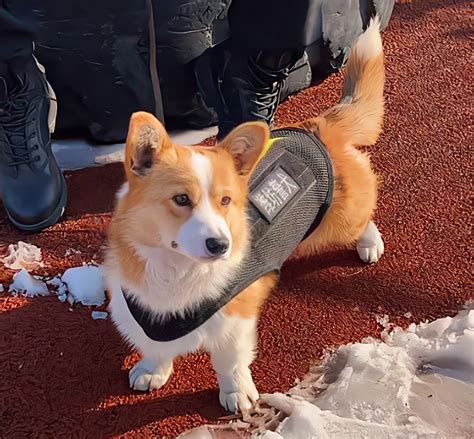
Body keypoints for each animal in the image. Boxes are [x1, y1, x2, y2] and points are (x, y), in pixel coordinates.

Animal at [103, 17, 386, 414]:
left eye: (225, 200)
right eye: (181, 199)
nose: (220, 246)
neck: (177, 272)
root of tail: (318, 126)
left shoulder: (235, 321)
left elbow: (230, 361)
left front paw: (236, 393)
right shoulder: (140, 312)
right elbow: (154, 347)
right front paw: (151, 371)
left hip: (342, 219)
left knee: (364, 213)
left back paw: (370, 243)